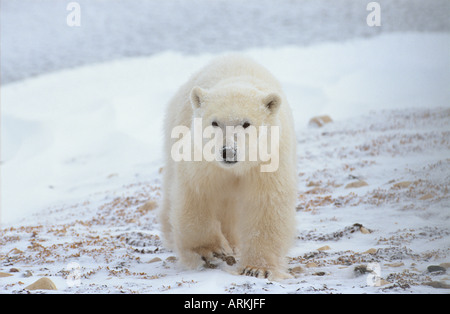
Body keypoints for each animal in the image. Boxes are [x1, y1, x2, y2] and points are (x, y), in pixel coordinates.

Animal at [159, 54, 298, 280]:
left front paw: (257, 268)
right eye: (215, 123)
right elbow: (197, 194)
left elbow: (266, 205)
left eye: (246, 123)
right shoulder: (203, 159)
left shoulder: (268, 161)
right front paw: (210, 251)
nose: (228, 151)